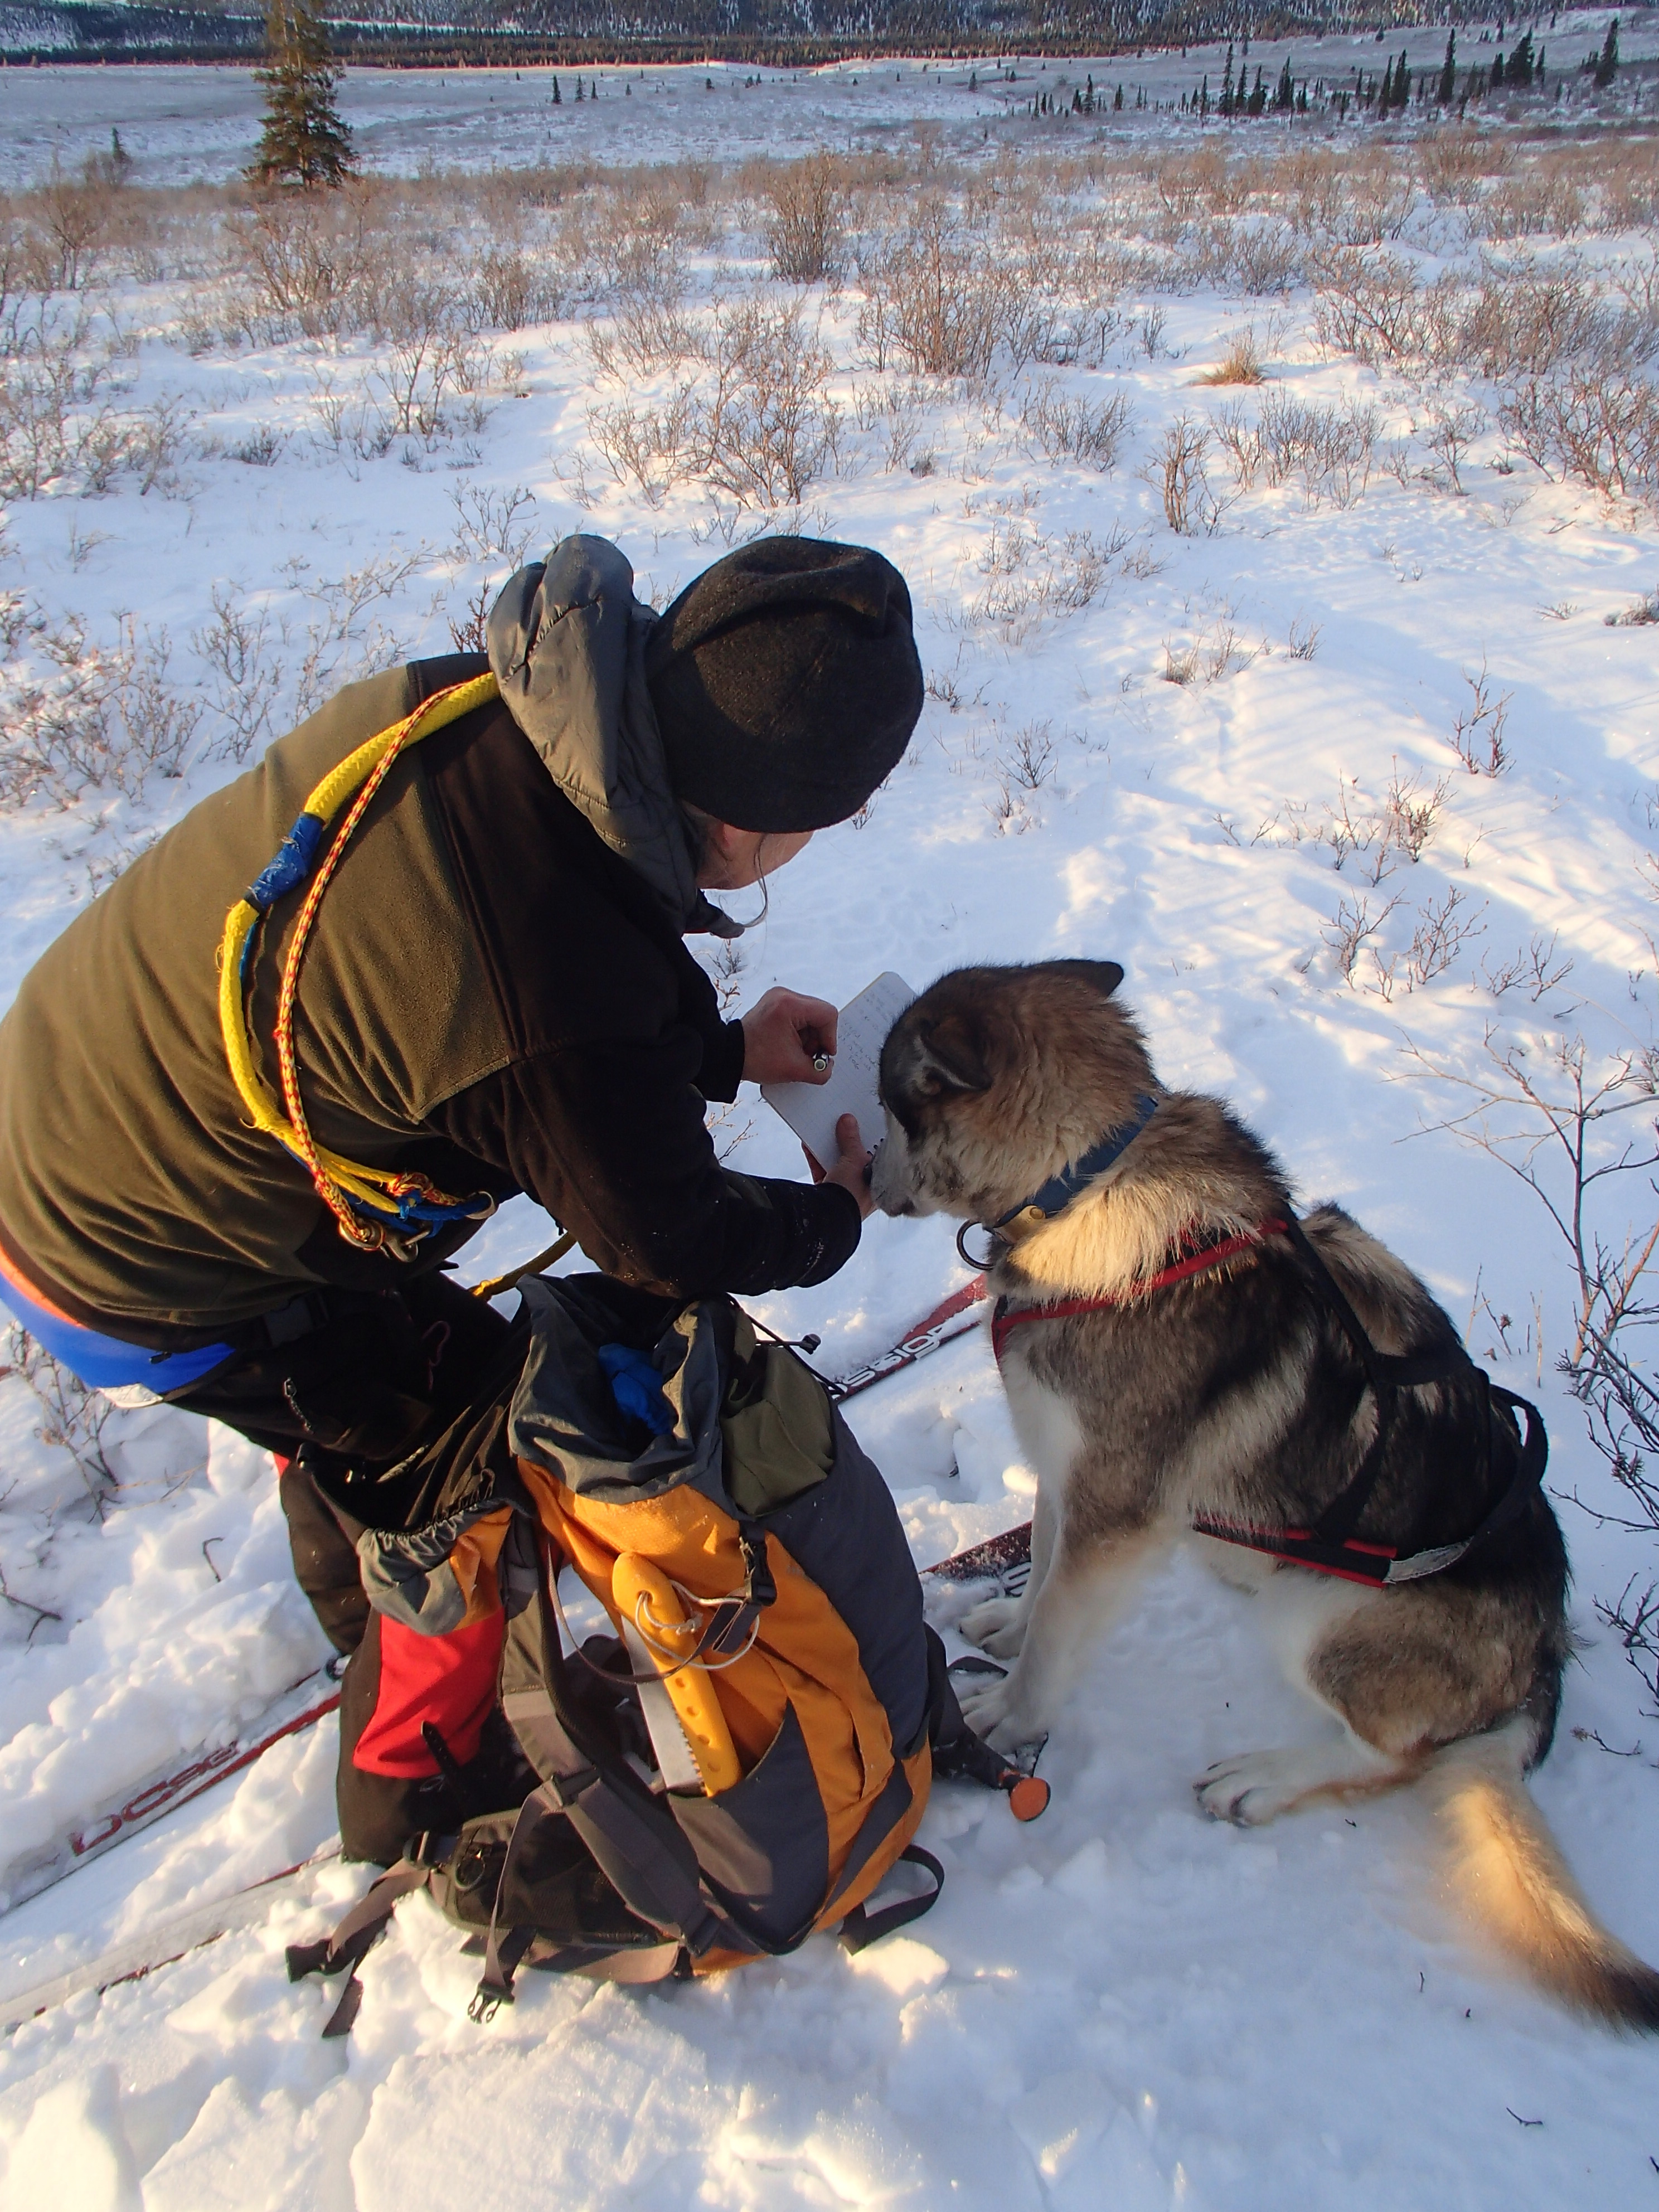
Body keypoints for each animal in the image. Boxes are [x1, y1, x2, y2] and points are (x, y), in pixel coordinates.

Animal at [876, 960, 1655, 2026]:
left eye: (887, 1104)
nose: (855, 1175)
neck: (1091, 1183)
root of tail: (1544, 1657)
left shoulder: (1116, 1511)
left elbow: (1056, 1638)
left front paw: (1008, 1717)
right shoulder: (1069, 1471)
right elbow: (1041, 1569)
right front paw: (1008, 1624)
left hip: (1316, 1617)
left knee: (1396, 1756)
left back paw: (1265, 1776)